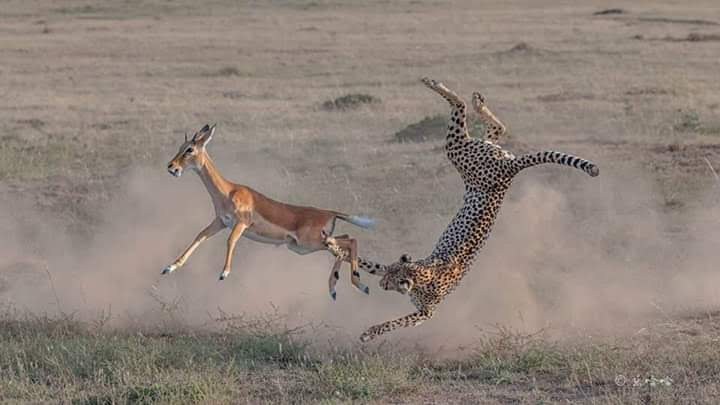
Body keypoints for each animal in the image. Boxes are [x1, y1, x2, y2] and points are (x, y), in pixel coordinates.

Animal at [163, 124, 376, 300]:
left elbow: (230, 241)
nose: (171, 167)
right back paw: (340, 289)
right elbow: (199, 236)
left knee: (351, 241)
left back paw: (358, 286)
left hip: (311, 243)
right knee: (346, 242)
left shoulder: (241, 224)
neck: (229, 191)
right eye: (180, 147)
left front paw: (224, 273)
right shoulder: (221, 222)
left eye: (189, 149)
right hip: (306, 246)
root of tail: (329, 212)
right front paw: (170, 267)